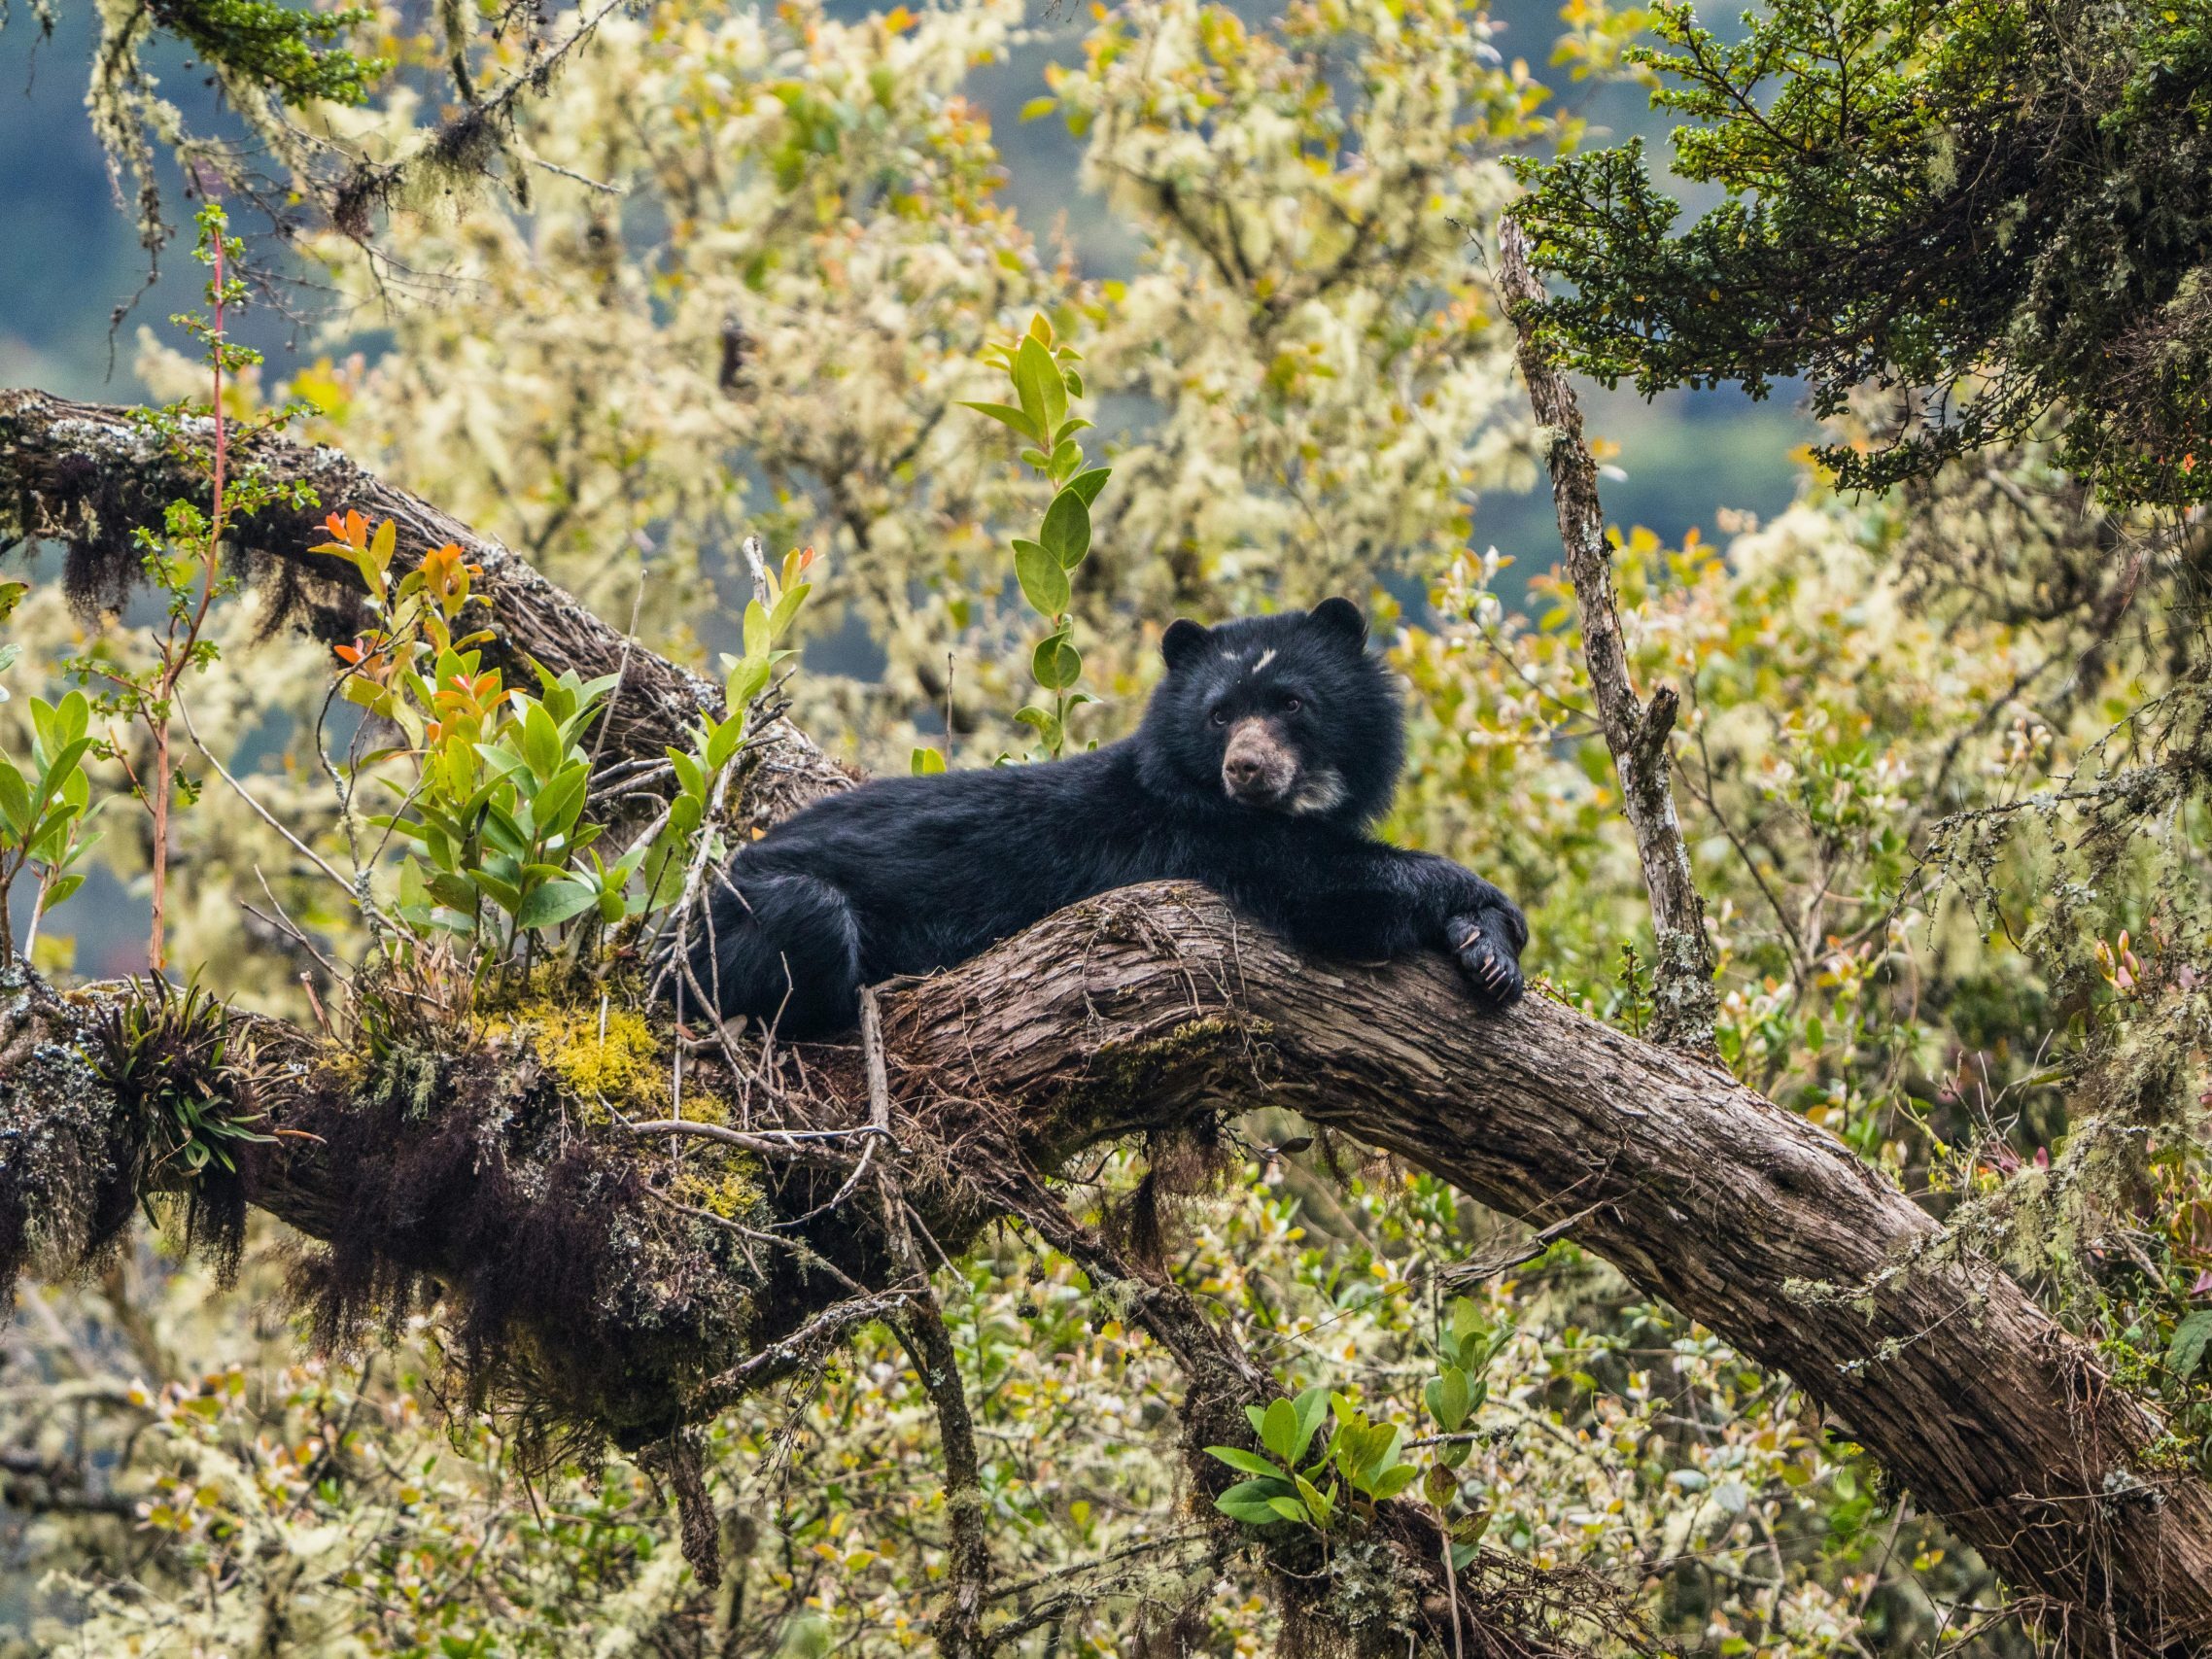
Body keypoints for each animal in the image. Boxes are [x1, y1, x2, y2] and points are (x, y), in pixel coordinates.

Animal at [680, 597, 1527, 1038]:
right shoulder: (1199, 836)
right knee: (812, 923)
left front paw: (1486, 957)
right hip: (742, 926)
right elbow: (1333, 892)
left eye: (1292, 703)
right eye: (1220, 715)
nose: (1247, 769)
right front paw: (1496, 920)